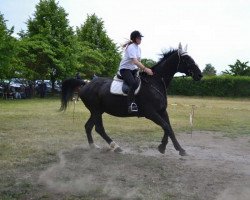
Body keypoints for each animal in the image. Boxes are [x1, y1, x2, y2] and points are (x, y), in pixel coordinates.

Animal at [60, 44, 203, 155]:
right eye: (186, 59)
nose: (200, 75)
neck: (155, 82)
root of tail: (86, 83)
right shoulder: (151, 113)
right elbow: (166, 127)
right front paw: (167, 148)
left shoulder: (162, 111)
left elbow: (169, 128)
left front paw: (174, 148)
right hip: (96, 110)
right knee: (98, 128)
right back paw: (115, 147)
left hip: (98, 111)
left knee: (89, 126)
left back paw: (94, 146)